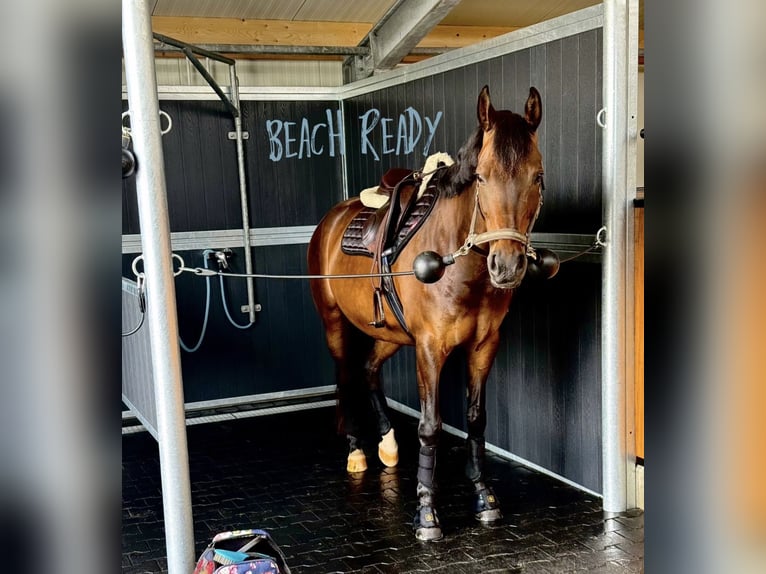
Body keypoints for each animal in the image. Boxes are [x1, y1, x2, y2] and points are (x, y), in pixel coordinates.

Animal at [308, 85, 545, 541]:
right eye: (481, 177)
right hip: (334, 324)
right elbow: (431, 426)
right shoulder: (431, 348)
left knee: (368, 369)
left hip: (388, 333)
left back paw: (387, 444)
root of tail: (330, 220)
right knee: (346, 375)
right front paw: (426, 512)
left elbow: (475, 420)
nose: (507, 267)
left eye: (538, 177)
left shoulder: (483, 346)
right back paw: (357, 451)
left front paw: (484, 496)